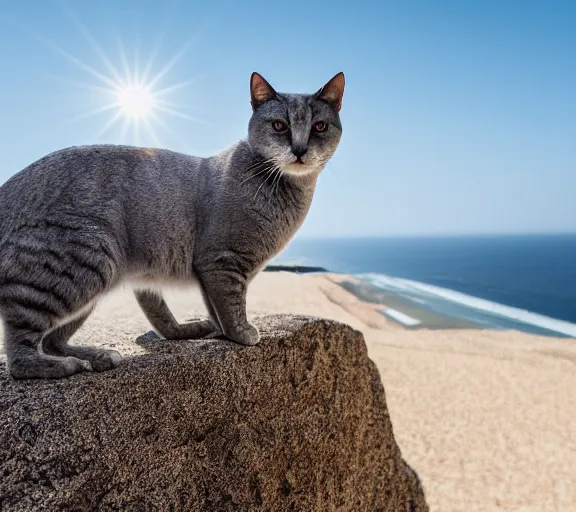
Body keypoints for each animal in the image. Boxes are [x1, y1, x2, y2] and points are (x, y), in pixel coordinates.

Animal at [0, 70, 342, 378]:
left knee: (53, 339)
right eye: (279, 125)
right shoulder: (222, 261)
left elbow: (210, 306)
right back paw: (62, 365)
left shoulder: (203, 270)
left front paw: (212, 330)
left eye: (319, 126)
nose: (299, 150)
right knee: (20, 353)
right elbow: (231, 304)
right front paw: (242, 334)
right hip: (84, 258)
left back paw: (97, 356)